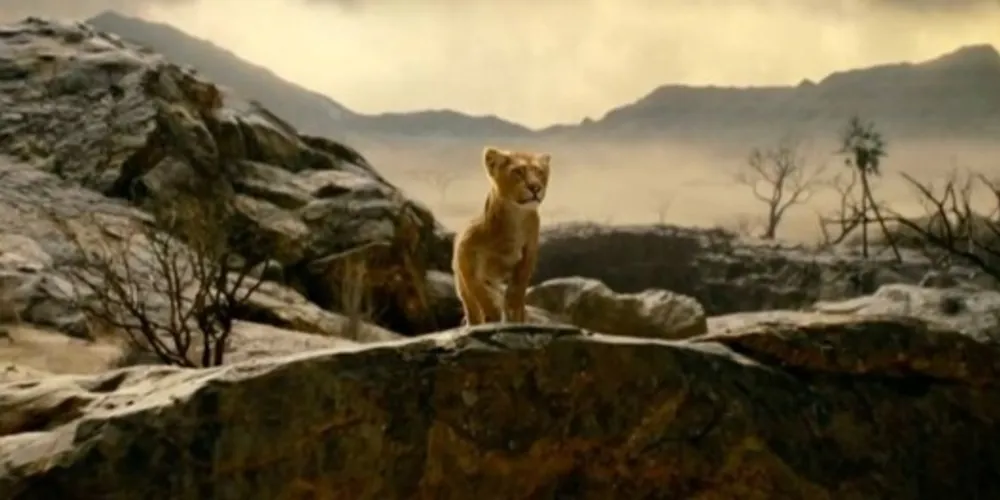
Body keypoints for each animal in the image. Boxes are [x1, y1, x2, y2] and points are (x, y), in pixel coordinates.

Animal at [452, 146, 551, 325]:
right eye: (518, 171)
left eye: (539, 172)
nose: (535, 187)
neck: (515, 218)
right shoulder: (465, 253)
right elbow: (478, 290)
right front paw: (492, 313)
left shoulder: (528, 254)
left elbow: (518, 289)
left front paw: (513, 312)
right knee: (472, 306)